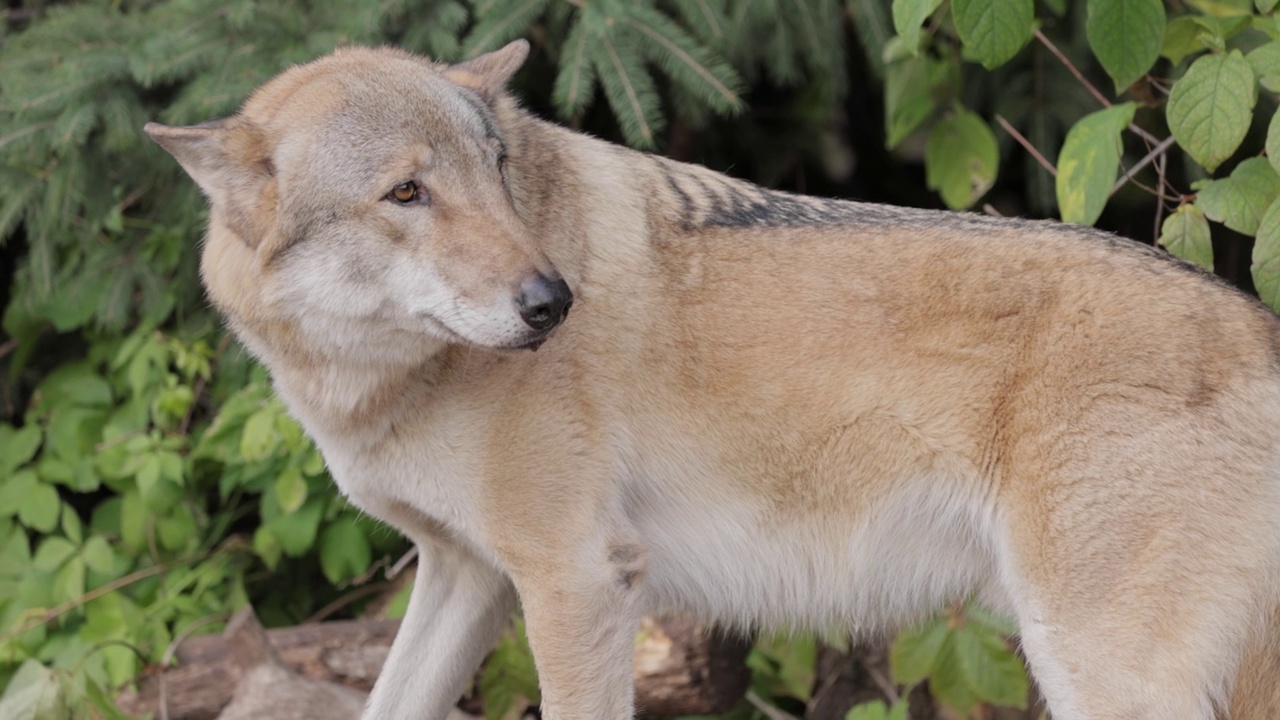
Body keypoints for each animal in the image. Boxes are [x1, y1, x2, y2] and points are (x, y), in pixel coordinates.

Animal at [145, 40, 1280, 717]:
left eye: (493, 173)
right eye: (406, 193)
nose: (552, 302)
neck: (383, 386)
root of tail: (1261, 328)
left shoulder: (577, 583)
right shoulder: (466, 578)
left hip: (1097, 670)